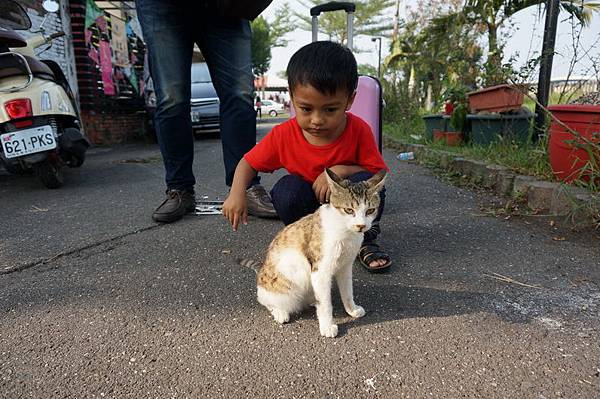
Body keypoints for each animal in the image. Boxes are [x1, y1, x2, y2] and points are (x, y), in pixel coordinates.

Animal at [238, 169, 384, 338]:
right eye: (349, 210)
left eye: (370, 210)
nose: (361, 226)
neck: (345, 231)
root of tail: (261, 269)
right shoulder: (320, 270)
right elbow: (326, 304)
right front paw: (327, 326)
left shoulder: (345, 266)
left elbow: (347, 291)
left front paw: (351, 309)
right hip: (282, 288)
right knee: (265, 300)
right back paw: (280, 312)